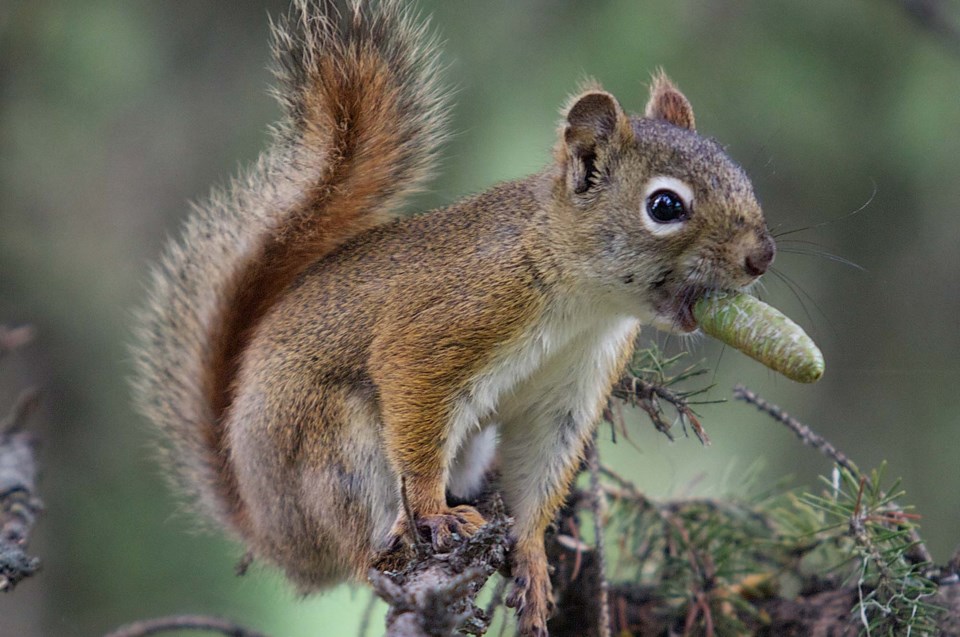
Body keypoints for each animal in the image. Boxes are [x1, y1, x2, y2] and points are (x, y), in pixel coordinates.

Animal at [133, 1, 772, 636]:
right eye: (665, 206)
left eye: (741, 176)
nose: (761, 257)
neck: (584, 306)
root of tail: (272, 532)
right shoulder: (447, 325)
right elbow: (413, 397)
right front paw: (435, 513)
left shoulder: (573, 388)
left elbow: (541, 470)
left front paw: (532, 557)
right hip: (334, 456)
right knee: (357, 552)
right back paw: (393, 544)